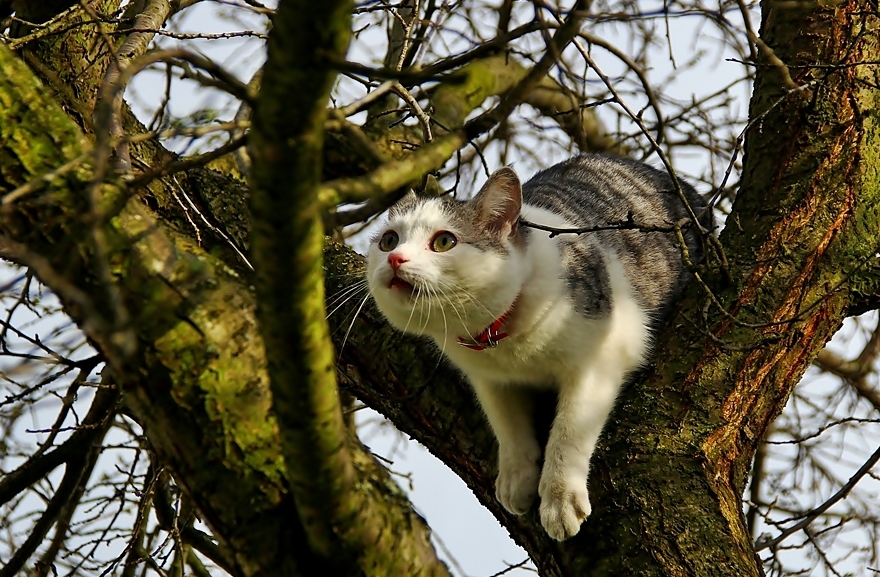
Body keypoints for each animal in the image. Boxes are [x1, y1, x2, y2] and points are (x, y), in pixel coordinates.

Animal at [362, 154, 708, 540]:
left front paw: (560, 499)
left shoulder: (602, 358)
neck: (506, 344)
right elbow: (509, 428)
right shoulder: (491, 381)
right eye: (388, 240)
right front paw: (516, 480)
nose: (395, 259)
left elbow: (569, 432)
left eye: (444, 242)